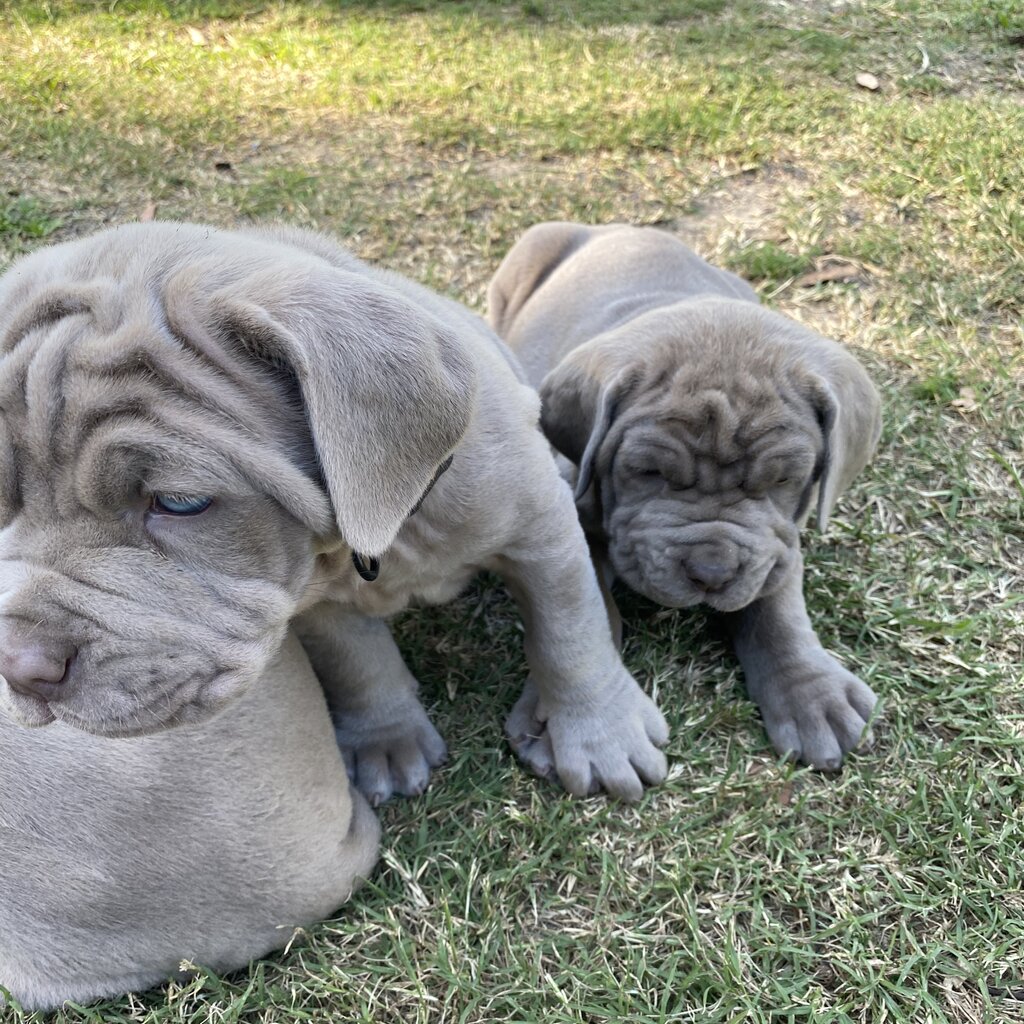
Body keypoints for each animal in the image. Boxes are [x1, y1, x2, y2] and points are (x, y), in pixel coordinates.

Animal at [0, 220, 667, 802]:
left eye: (178, 503)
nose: (17, 668)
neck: (384, 535)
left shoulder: (542, 529)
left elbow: (569, 634)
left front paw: (601, 736)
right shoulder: (305, 595)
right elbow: (356, 659)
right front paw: (386, 740)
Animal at [487, 224, 880, 770]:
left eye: (783, 481)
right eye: (649, 472)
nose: (711, 573)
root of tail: (615, 227)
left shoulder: (780, 541)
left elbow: (777, 606)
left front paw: (813, 694)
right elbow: (587, 610)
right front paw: (566, 718)